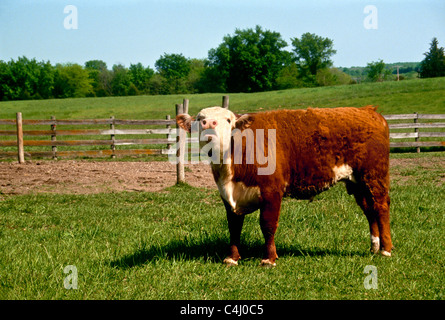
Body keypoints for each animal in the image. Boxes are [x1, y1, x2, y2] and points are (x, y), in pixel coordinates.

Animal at [177, 106, 392, 266]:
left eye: (228, 120)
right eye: (199, 119)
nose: (208, 124)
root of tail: (368, 110)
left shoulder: (272, 191)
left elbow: (267, 225)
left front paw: (269, 259)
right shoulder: (228, 196)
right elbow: (234, 227)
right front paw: (232, 258)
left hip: (374, 176)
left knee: (381, 208)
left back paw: (386, 250)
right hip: (358, 182)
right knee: (369, 210)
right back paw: (374, 246)